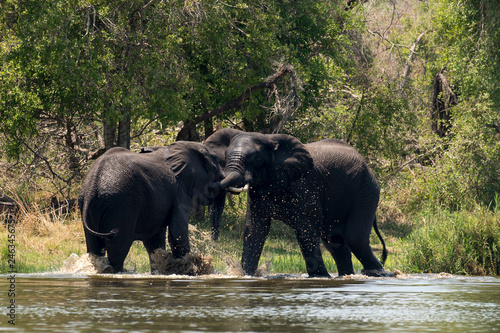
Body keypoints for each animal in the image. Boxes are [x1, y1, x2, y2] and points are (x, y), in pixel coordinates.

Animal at [78, 140, 223, 272]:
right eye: (216, 168)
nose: (213, 239)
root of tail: (92, 186)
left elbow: (154, 241)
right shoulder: (179, 191)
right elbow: (177, 233)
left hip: (88, 204)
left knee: (94, 247)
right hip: (121, 205)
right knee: (118, 248)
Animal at [209, 128, 392, 276]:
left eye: (256, 158)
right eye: (225, 155)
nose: (213, 239)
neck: (270, 140)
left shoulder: (303, 185)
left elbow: (306, 228)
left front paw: (320, 277)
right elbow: (254, 228)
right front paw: (245, 275)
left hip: (366, 189)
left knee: (355, 238)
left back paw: (378, 273)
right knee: (334, 242)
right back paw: (349, 275)